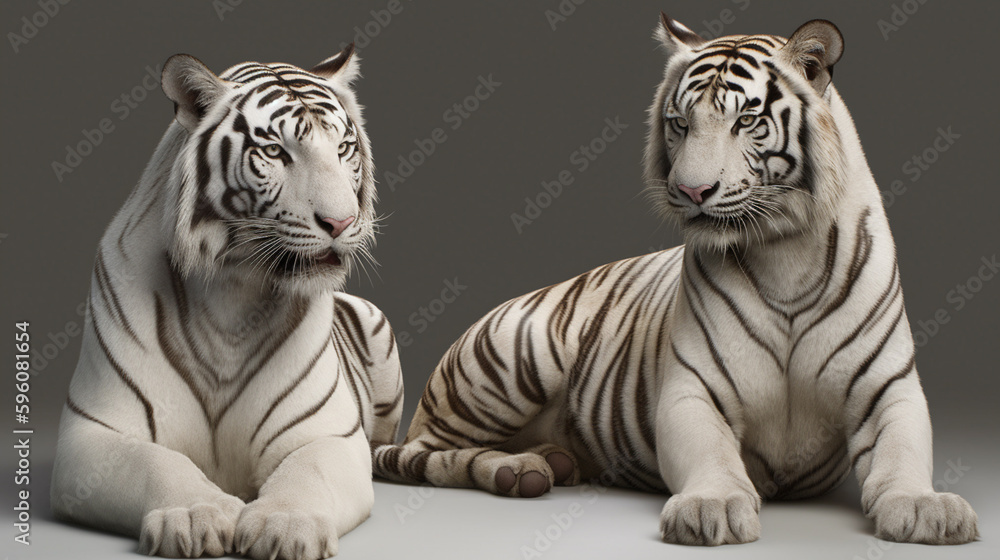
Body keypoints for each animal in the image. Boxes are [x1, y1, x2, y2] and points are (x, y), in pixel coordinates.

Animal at [50, 45, 404, 560]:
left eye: (343, 148)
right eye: (275, 152)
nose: (341, 223)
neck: (232, 294)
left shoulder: (327, 432)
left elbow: (307, 473)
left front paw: (285, 524)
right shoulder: (94, 431)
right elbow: (156, 464)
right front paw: (197, 515)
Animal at [372, 16, 979, 546]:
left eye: (745, 121)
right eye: (681, 123)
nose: (691, 191)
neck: (786, 252)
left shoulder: (889, 389)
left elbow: (902, 456)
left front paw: (929, 508)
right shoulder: (692, 390)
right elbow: (711, 453)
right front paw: (713, 506)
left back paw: (551, 462)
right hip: (514, 358)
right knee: (417, 453)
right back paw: (516, 471)